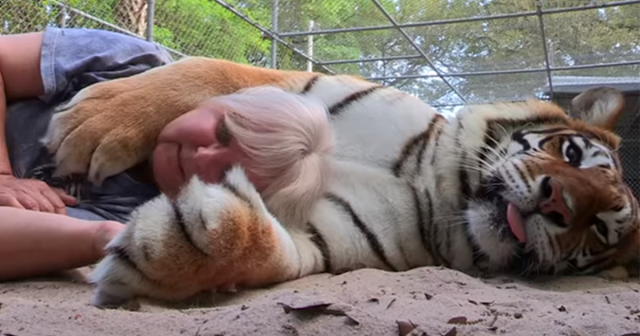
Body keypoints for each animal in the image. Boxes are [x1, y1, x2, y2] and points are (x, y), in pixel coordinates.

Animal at [38, 56, 640, 308]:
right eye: (570, 153)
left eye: (597, 232)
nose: (558, 205)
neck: (432, 184)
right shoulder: (300, 86)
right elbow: (206, 71)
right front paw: (93, 122)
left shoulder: (328, 235)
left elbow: (271, 250)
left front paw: (174, 245)